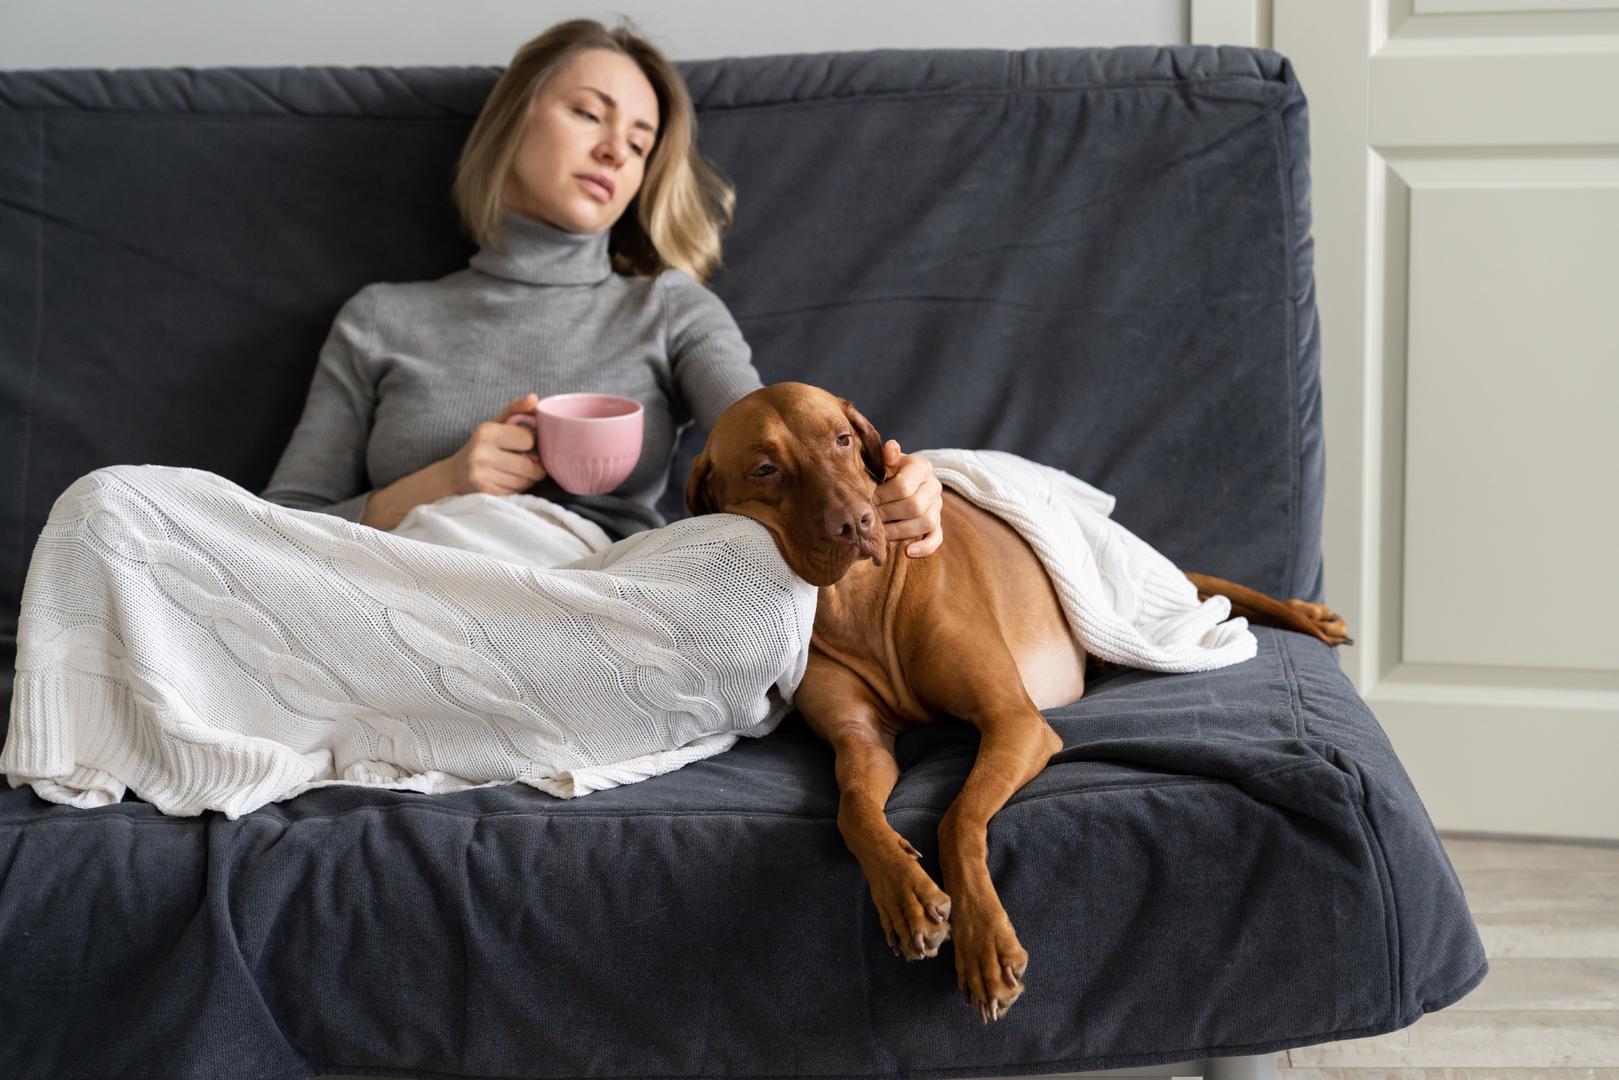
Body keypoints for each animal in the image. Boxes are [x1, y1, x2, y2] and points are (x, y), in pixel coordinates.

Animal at [686, 383, 1353, 1029]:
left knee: (1212, 589)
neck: (859, 600)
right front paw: (905, 893)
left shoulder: (1015, 721)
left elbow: (957, 818)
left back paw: (1311, 617)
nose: (857, 523)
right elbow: (853, 811)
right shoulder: (861, 741)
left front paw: (984, 945)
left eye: (843, 439)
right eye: (766, 469)